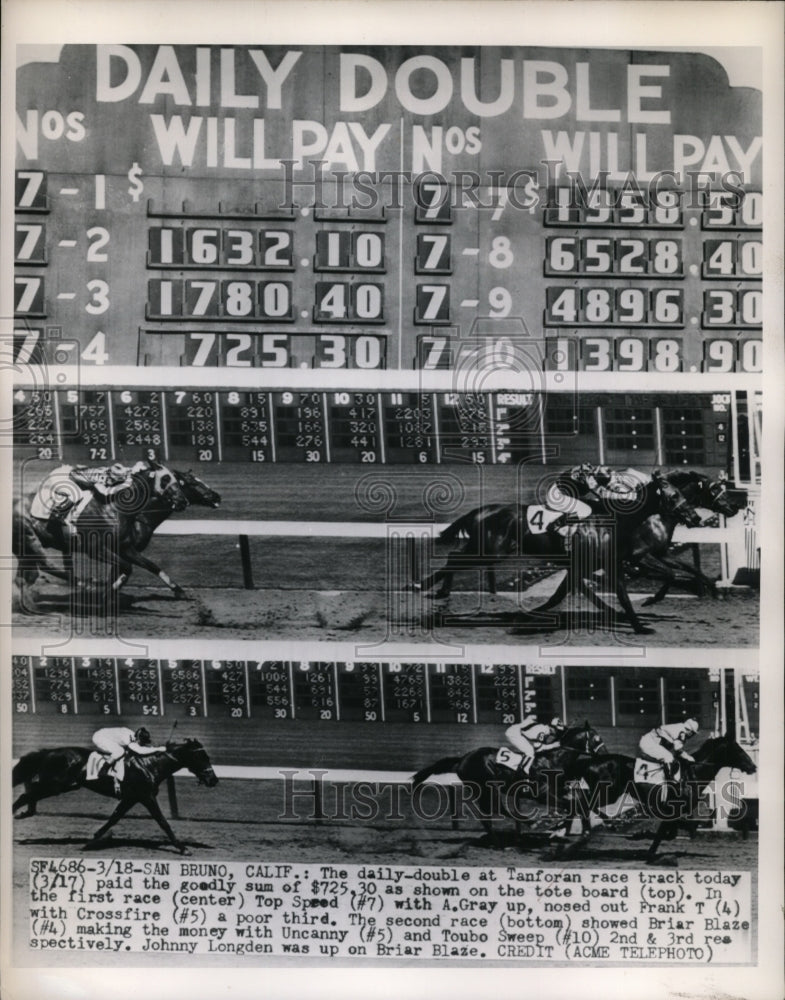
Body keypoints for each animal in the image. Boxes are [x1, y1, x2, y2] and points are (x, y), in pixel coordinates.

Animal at [12, 740, 219, 856]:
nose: (213, 780)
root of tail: (48, 752)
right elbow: (163, 822)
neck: (149, 765)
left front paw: (92, 840)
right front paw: (183, 848)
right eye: (202, 757)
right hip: (56, 785)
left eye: (207, 757)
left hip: (57, 785)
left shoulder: (131, 798)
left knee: (29, 797)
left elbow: (114, 818)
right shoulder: (146, 796)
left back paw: (23, 814)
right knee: (25, 795)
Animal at [410, 724, 608, 840]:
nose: (606, 754)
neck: (554, 759)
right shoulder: (543, 794)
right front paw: (557, 826)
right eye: (597, 738)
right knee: (498, 809)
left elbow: (580, 802)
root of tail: (462, 759)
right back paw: (524, 827)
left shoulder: (561, 790)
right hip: (486, 787)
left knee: (488, 814)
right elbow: (572, 805)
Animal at [556, 732, 756, 864]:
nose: (753, 766)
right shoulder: (673, 810)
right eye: (738, 750)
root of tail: (590, 760)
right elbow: (669, 831)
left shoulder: (673, 812)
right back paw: (585, 832)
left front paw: (648, 848)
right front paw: (644, 841)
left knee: (580, 802)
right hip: (607, 792)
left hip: (608, 792)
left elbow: (670, 832)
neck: (692, 773)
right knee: (581, 802)